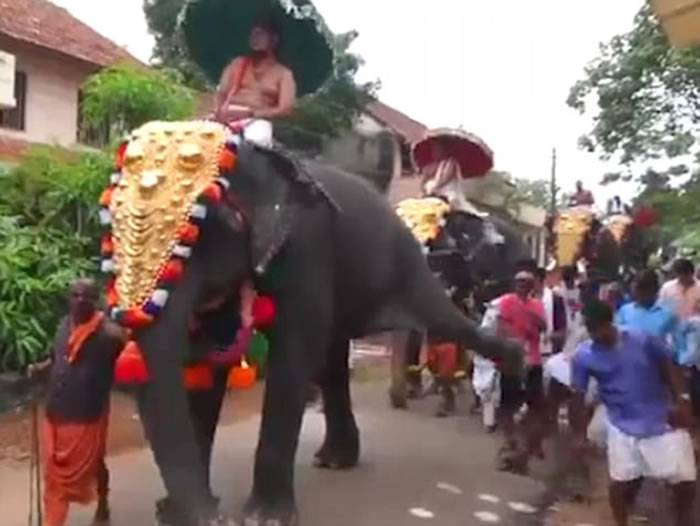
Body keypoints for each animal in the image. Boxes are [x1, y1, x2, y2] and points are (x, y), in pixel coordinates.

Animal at [100, 120, 520, 526]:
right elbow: (209, 357)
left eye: (215, 224)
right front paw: (177, 514)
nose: (216, 516)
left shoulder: (308, 245)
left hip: (409, 269)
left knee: (445, 324)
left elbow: (293, 352)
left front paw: (265, 519)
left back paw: (512, 378)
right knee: (334, 357)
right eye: (110, 223)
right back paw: (337, 459)